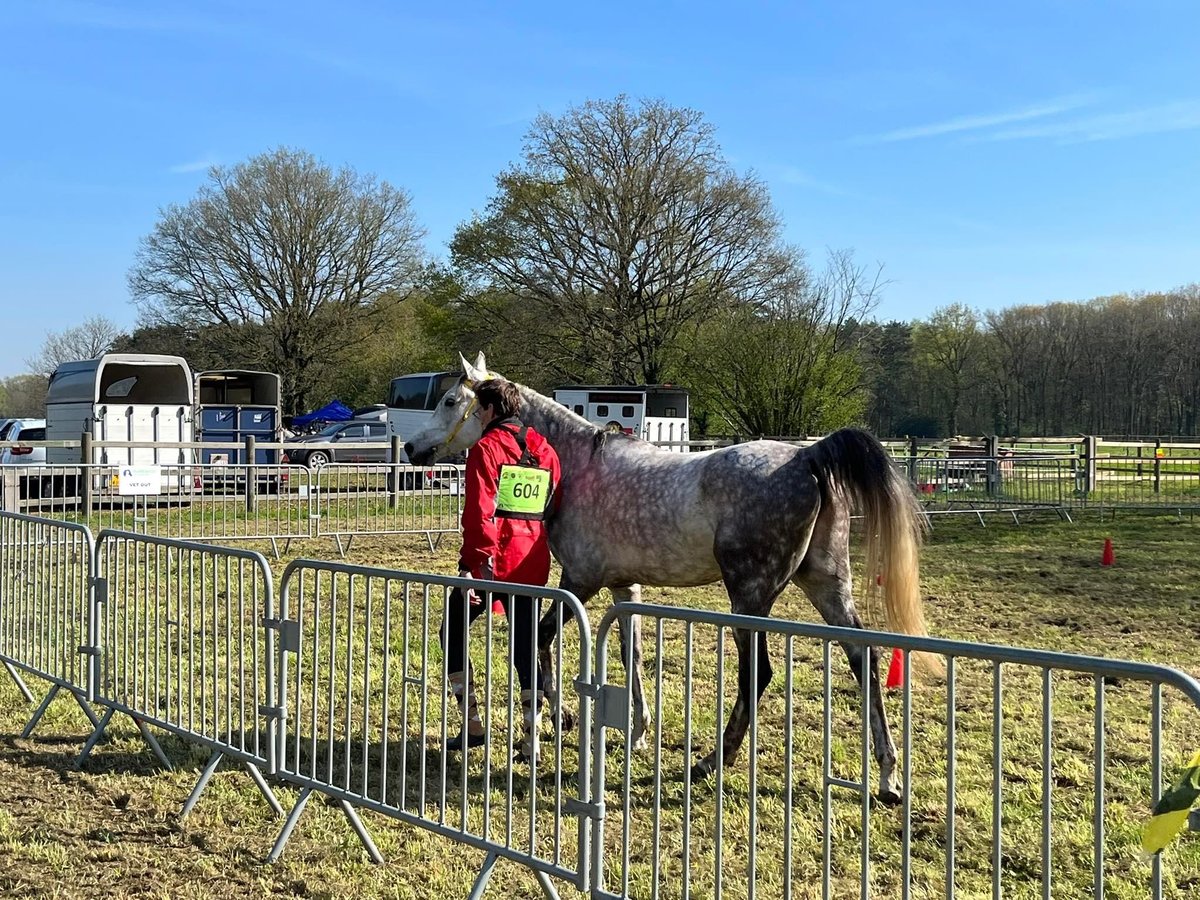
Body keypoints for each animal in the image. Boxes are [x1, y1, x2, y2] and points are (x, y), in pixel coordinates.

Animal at [408, 352, 931, 801]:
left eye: (450, 400)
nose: (412, 447)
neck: (573, 464)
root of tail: (807, 457)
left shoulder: (580, 580)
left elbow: (540, 642)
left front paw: (546, 726)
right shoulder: (624, 586)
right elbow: (631, 654)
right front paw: (636, 732)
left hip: (750, 597)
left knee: (758, 674)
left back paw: (713, 761)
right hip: (826, 585)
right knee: (863, 658)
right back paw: (888, 777)